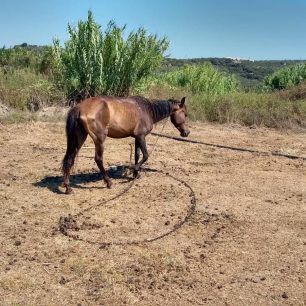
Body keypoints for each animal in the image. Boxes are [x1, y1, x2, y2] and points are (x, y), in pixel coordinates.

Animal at [61, 95, 189, 194]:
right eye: (185, 113)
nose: (187, 133)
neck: (147, 109)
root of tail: (79, 107)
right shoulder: (141, 136)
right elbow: (146, 155)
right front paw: (134, 169)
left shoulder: (137, 137)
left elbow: (137, 155)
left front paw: (136, 174)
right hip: (99, 139)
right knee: (98, 159)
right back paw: (108, 182)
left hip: (79, 138)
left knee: (70, 158)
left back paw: (68, 187)